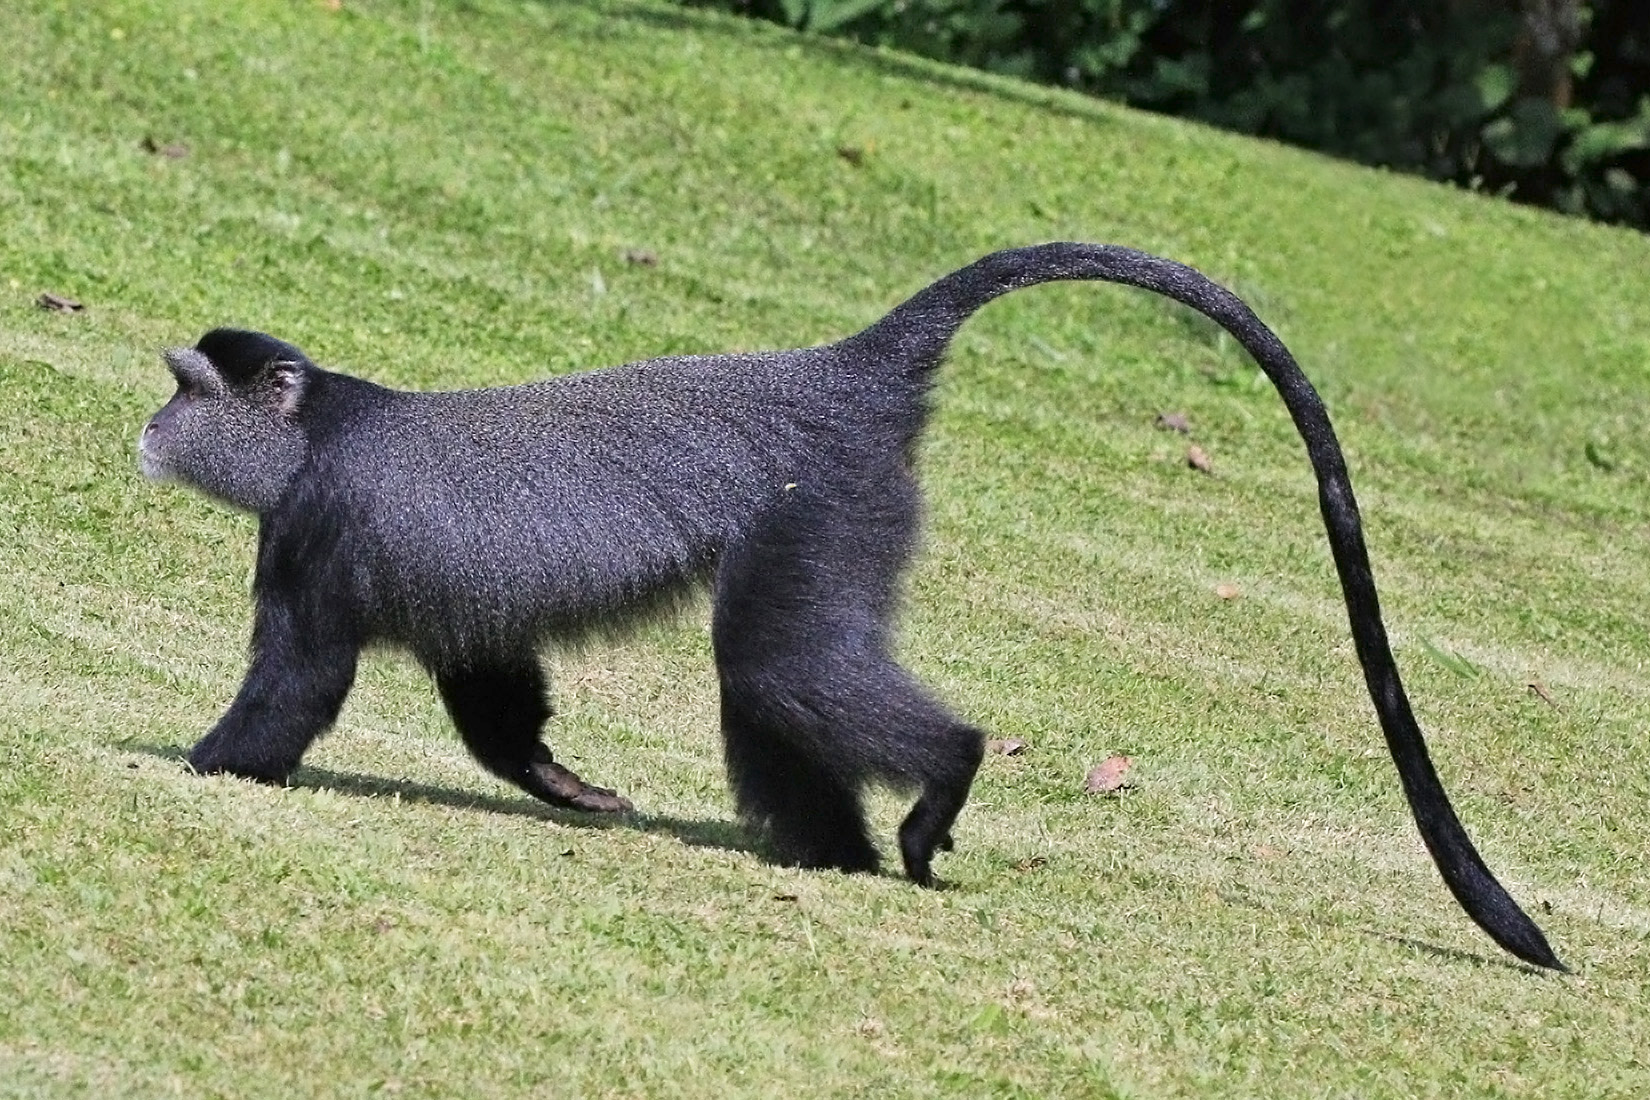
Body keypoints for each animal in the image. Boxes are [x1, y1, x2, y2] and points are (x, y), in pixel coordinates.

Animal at [137, 242, 1562, 971]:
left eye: (188, 388)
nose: (148, 425)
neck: (318, 430)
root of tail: (842, 370)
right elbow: (493, 688)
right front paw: (569, 784)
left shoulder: (314, 535)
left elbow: (299, 682)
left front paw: (200, 765)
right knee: (771, 687)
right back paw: (831, 849)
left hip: (819, 507)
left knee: (775, 665)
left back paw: (942, 776)